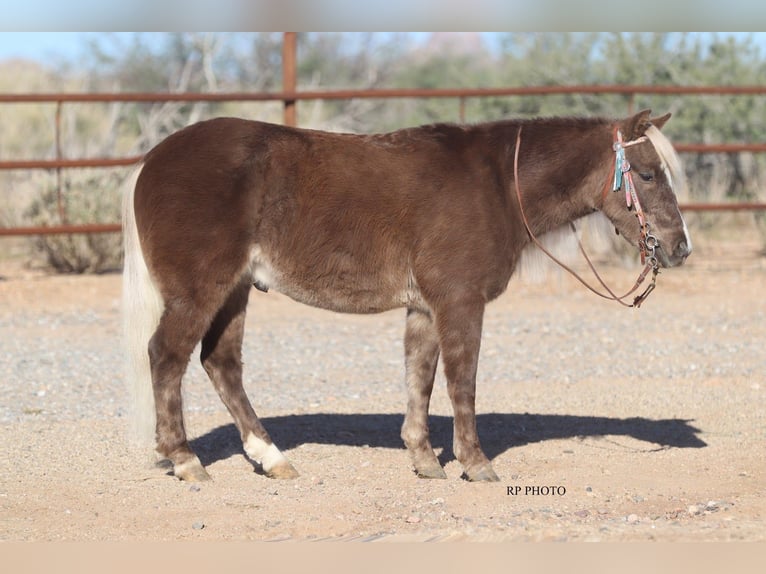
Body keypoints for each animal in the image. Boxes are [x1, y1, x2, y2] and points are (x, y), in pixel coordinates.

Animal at [122, 109, 692, 483]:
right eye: (646, 174)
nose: (679, 247)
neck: (496, 187)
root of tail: (150, 161)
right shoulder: (460, 302)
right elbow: (462, 383)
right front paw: (475, 464)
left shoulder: (424, 308)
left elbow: (421, 379)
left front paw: (425, 460)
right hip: (200, 290)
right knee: (166, 357)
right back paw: (186, 460)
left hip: (235, 290)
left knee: (221, 363)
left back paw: (272, 458)